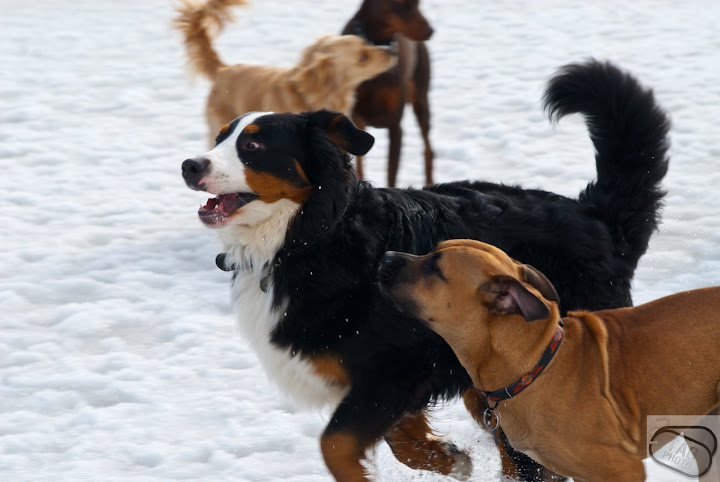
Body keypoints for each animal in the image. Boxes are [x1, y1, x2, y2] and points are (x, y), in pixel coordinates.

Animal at [180, 61, 668, 482]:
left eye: (253, 146)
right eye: (220, 138)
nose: (190, 164)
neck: (309, 236)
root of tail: (597, 214)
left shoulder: (396, 367)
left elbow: (335, 445)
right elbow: (401, 439)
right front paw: (445, 457)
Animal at [342, 0, 436, 186]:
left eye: (419, 3)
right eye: (400, 3)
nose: (430, 31)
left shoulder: (395, 125)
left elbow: (391, 176)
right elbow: (360, 167)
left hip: (421, 102)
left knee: (428, 149)